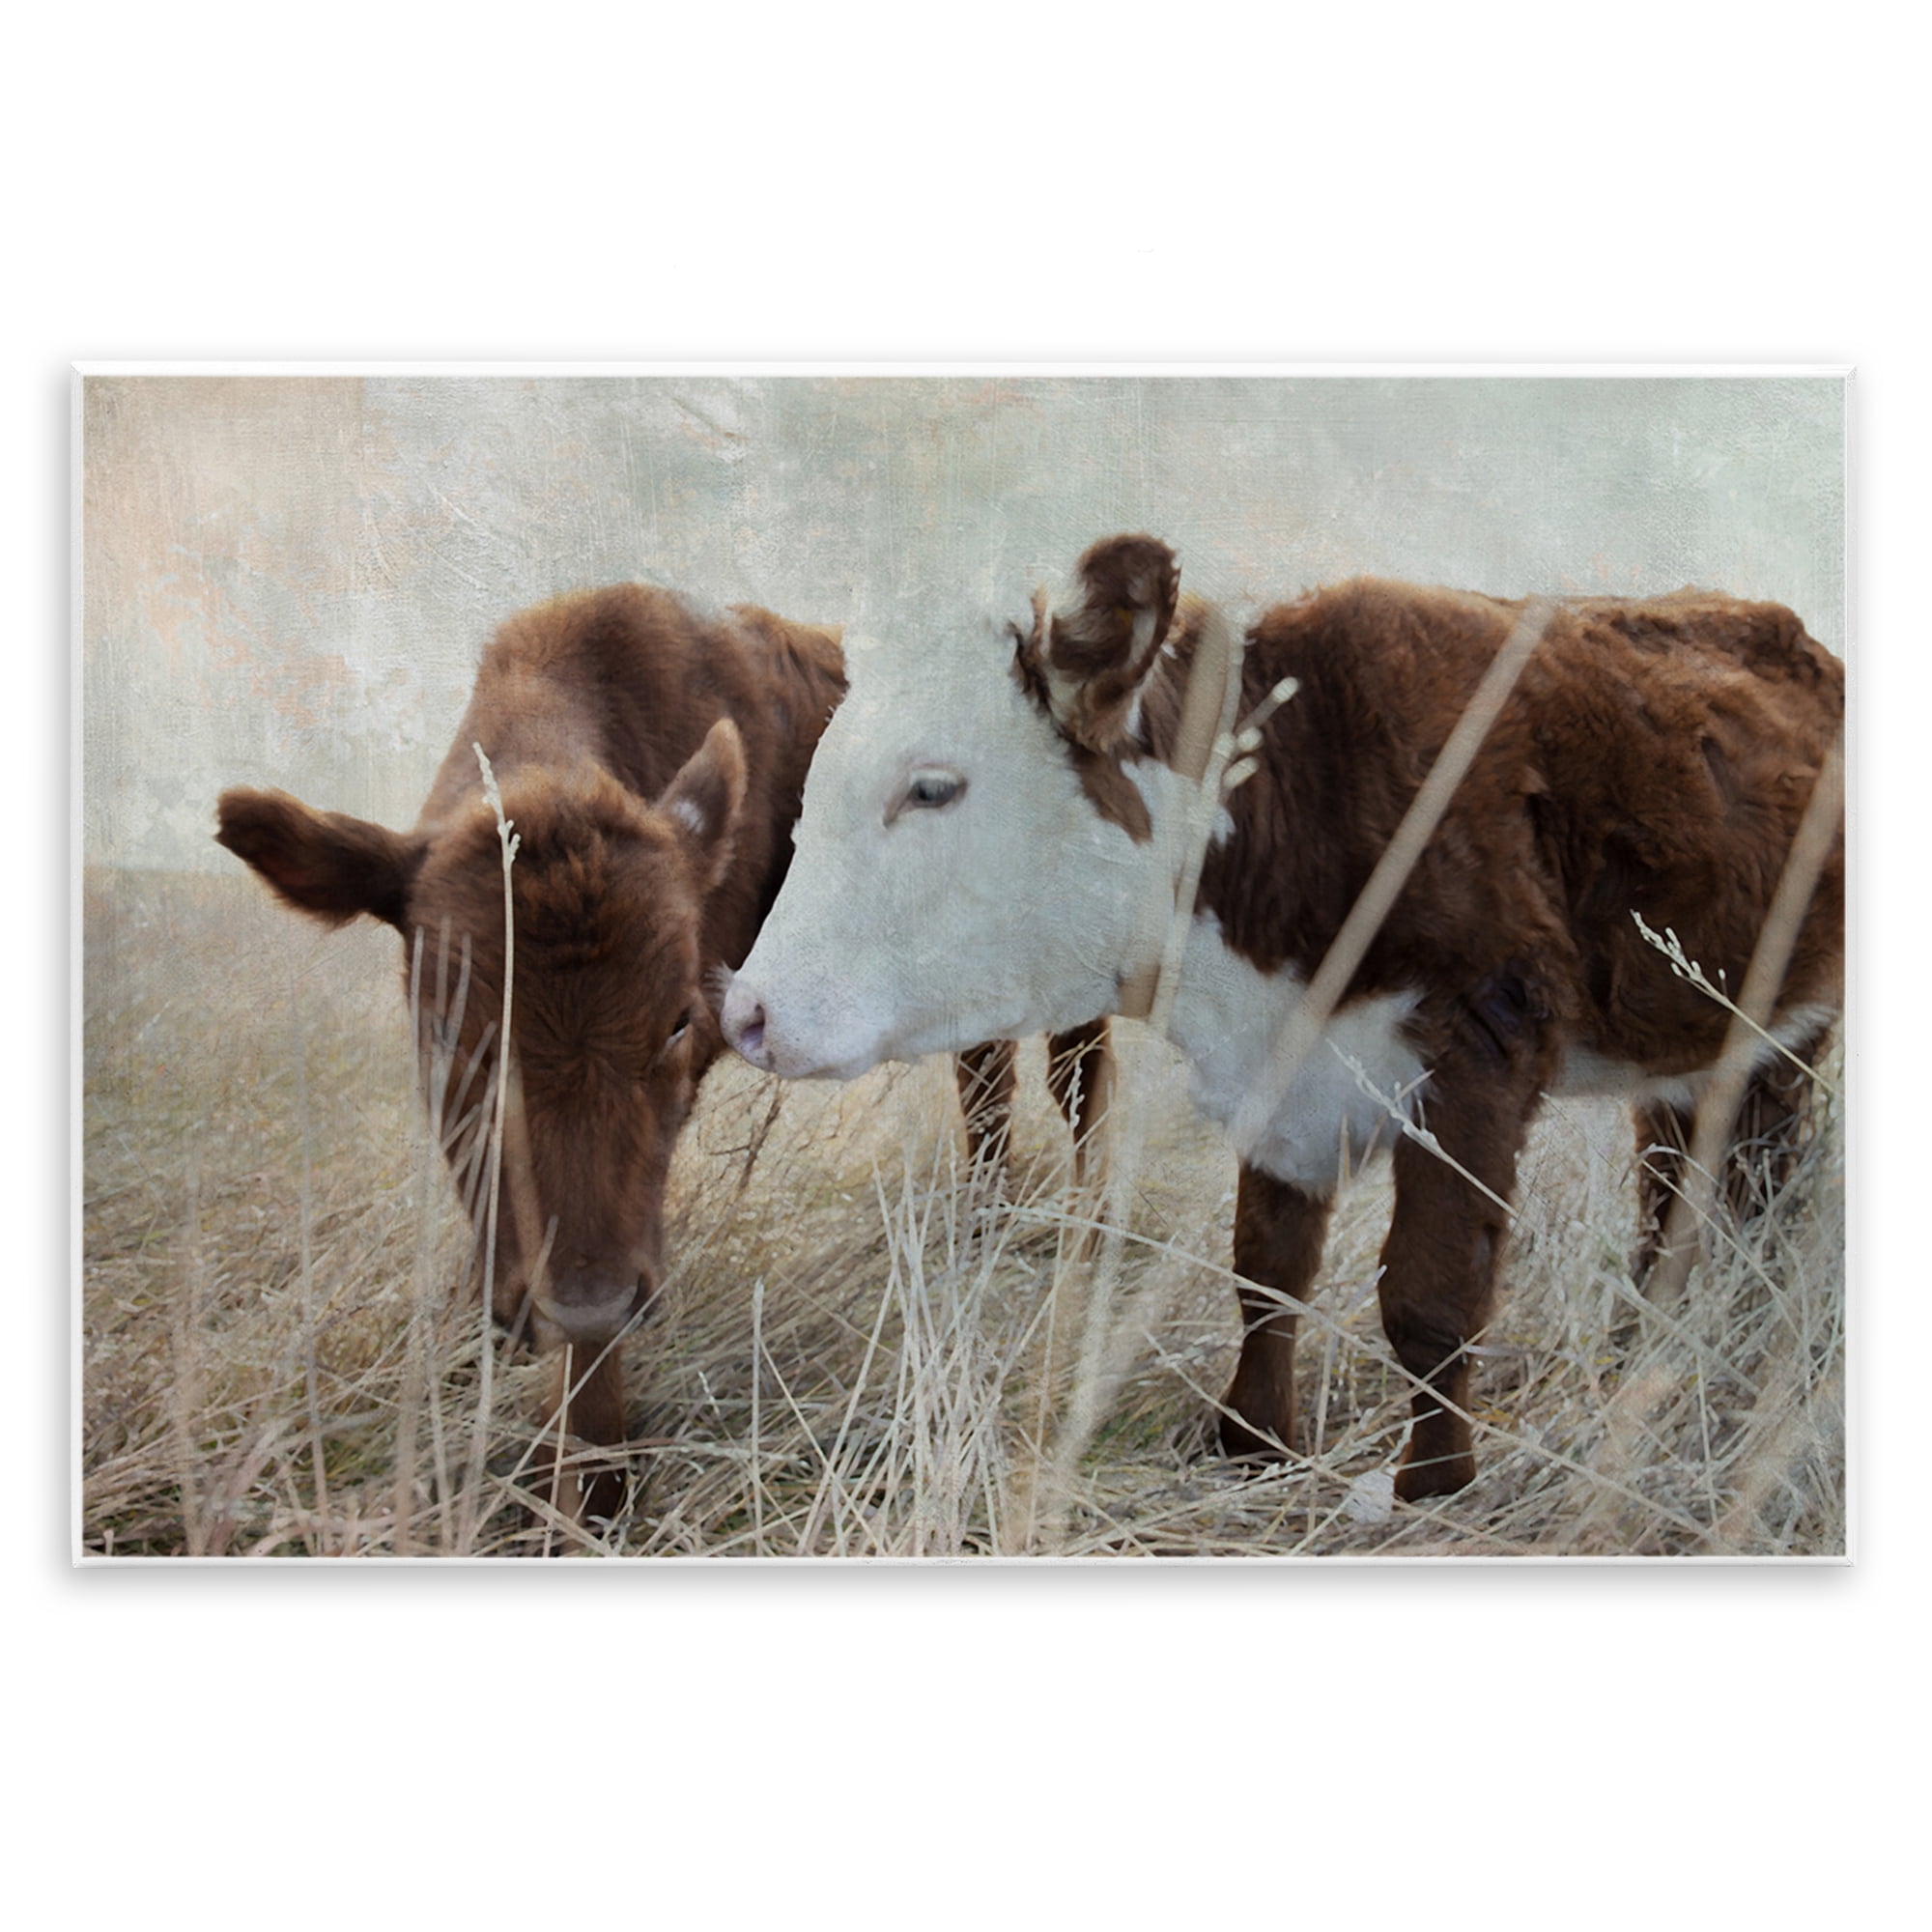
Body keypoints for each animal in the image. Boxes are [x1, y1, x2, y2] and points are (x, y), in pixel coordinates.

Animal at [216, 583, 1110, 1525]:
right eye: (444, 1027)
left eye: (679, 1021)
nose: (581, 1303)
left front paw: (597, 1487)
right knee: (987, 1073)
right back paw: (984, 1220)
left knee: (1075, 1072)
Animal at [719, 534, 1844, 1503]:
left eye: (933, 787)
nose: (747, 1010)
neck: (1294, 788)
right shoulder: (1282, 1076)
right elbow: (1265, 1270)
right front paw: (1251, 1443)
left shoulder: (1481, 1039)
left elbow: (1430, 1295)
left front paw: (1431, 1490)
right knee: (1672, 1190)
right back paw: (1639, 1351)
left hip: (1789, 1032)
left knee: (1759, 1186)